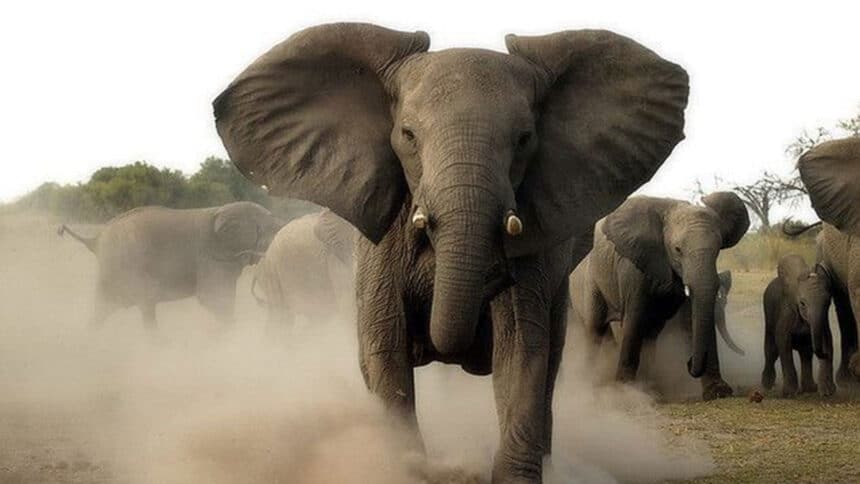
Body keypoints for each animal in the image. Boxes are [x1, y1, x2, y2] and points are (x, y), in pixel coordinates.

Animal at [58, 201, 284, 328]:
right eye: (274, 230)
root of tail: (94, 240)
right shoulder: (212, 254)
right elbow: (213, 298)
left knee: (103, 311)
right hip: (127, 266)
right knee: (143, 306)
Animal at [213, 23, 689, 482]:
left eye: (524, 139)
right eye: (407, 135)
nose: (496, 270)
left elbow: (521, 351)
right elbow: (384, 347)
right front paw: (403, 468)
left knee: (550, 362)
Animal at [568, 193, 750, 400]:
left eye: (718, 250)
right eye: (677, 249)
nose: (689, 363)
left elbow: (691, 319)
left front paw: (718, 392)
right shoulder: (633, 266)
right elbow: (634, 318)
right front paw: (624, 391)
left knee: (651, 332)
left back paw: (649, 389)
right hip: (588, 281)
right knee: (595, 329)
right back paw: (590, 383)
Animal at [761, 254, 835, 397]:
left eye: (828, 302)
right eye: (802, 304)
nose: (823, 354)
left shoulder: (823, 319)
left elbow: (828, 340)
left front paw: (827, 392)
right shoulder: (787, 312)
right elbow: (783, 342)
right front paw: (789, 393)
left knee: (806, 354)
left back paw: (809, 388)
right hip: (768, 314)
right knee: (771, 351)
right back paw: (766, 386)